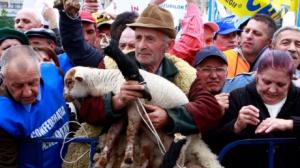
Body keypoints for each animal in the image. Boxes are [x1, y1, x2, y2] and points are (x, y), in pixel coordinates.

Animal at [63, 66, 223, 168]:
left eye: (70, 82)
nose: (65, 97)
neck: (107, 82)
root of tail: (197, 137)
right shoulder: (122, 108)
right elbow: (113, 133)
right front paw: (103, 159)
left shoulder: (136, 105)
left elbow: (130, 130)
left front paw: (128, 158)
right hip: (153, 140)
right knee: (148, 159)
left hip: (183, 140)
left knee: (180, 159)